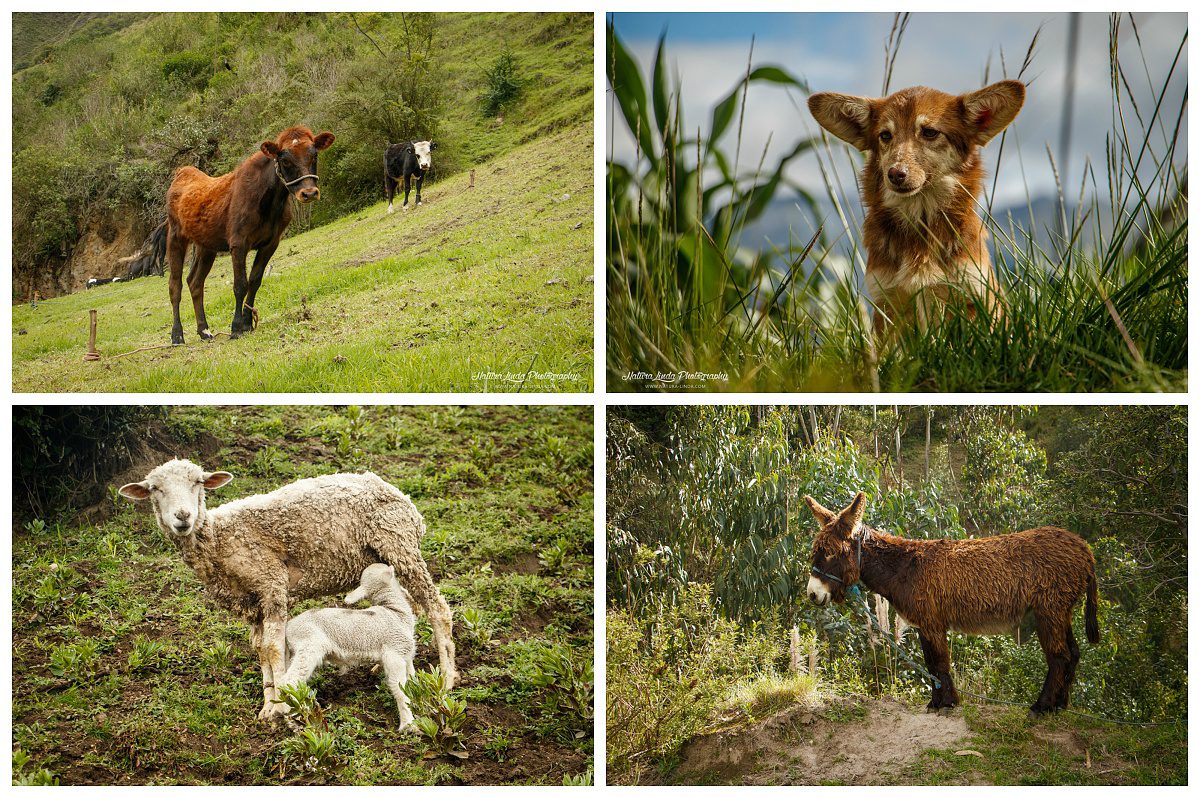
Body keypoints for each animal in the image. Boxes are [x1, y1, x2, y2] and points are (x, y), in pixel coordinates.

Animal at [164, 126, 333, 343]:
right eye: (284, 159)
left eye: (314, 155)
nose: (309, 193)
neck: (271, 203)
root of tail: (183, 171)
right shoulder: (238, 242)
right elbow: (240, 285)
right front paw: (236, 327)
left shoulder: (271, 242)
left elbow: (255, 281)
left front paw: (247, 323)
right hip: (175, 237)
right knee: (175, 286)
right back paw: (177, 335)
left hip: (206, 246)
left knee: (195, 282)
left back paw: (204, 330)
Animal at [278, 559, 420, 729]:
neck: (395, 611)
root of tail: (289, 626)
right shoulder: (394, 654)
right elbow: (399, 688)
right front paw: (408, 724)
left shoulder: (406, 654)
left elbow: (411, 680)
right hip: (308, 646)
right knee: (289, 680)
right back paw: (297, 712)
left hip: (296, 652)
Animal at [801, 494, 1099, 710]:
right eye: (815, 552)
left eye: (830, 553)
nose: (812, 594)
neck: (904, 567)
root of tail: (1084, 549)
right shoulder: (924, 624)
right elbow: (931, 663)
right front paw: (937, 702)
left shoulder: (932, 622)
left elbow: (940, 662)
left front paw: (947, 703)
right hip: (1060, 610)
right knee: (1073, 654)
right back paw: (1061, 705)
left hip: (1049, 610)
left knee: (1059, 656)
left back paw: (1042, 706)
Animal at [806, 83, 1022, 336]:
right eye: (885, 135)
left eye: (929, 132)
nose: (895, 174)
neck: (920, 217)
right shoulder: (886, 302)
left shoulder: (975, 294)